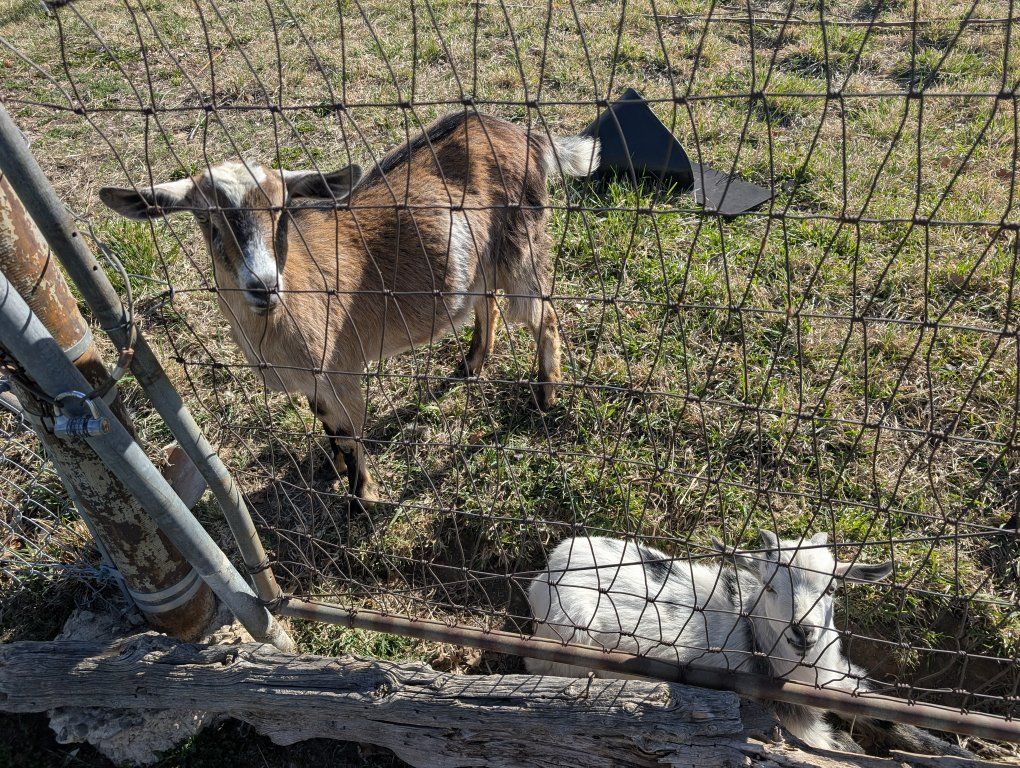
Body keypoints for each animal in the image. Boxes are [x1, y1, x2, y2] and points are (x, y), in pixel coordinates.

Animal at [100, 112, 600, 501]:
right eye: (208, 221)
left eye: (282, 212)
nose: (263, 285)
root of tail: (526, 134)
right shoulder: (313, 385)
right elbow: (330, 429)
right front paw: (334, 469)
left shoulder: (341, 370)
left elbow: (353, 432)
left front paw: (363, 498)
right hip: (483, 263)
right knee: (487, 304)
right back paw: (472, 365)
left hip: (521, 247)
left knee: (544, 314)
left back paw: (546, 392)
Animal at [526, 531, 969, 755]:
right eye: (771, 586)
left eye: (831, 589)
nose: (803, 632)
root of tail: (549, 569)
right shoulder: (788, 715)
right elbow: (841, 745)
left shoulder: (841, 681)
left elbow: (893, 717)